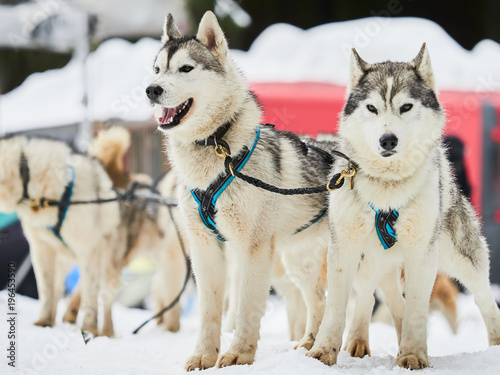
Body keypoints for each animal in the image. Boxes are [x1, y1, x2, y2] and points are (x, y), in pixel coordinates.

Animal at [147, 11, 340, 370]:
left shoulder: (252, 249)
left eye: (186, 69)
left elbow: (246, 309)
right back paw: (309, 344)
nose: (151, 90)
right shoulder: (205, 249)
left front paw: (239, 355)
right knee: (319, 301)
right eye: (157, 70)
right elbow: (210, 312)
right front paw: (203, 356)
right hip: (300, 263)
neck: (217, 147)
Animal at [308, 44, 500, 370]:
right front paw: (323, 353)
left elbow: (416, 310)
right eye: (372, 108)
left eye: (406, 107)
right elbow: (335, 307)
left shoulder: (422, 253)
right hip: (373, 261)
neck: (387, 189)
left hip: (461, 260)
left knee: (485, 299)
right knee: (373, 296)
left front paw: (412, 354)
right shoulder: (343, 248)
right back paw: (358, 341)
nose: (388, 139)